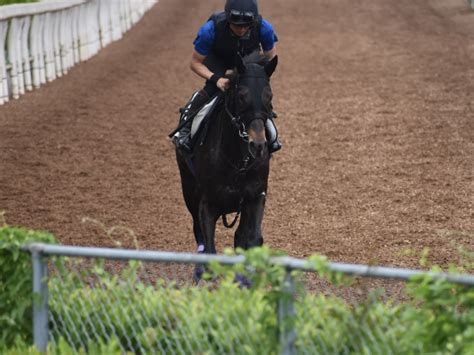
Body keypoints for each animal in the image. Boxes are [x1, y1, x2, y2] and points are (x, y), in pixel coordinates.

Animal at [175, 51, 278, 268]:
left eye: (269, 96)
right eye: (241, 96)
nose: (258, 145)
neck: (238, 162)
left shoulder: (255, 197)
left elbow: (251, 239)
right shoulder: (207, 204)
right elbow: (209, 249)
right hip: (188, 188)